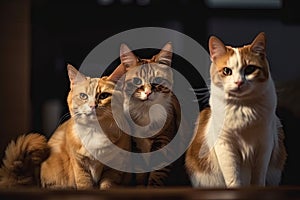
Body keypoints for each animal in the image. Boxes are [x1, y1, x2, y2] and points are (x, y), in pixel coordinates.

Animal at [186, 31, 288, 188]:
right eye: (227, 71)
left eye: (250, 69)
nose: (239, 82)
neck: (242, 108)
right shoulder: (225, 145)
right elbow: (233, 176)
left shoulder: (265, 143)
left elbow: (258, 176)